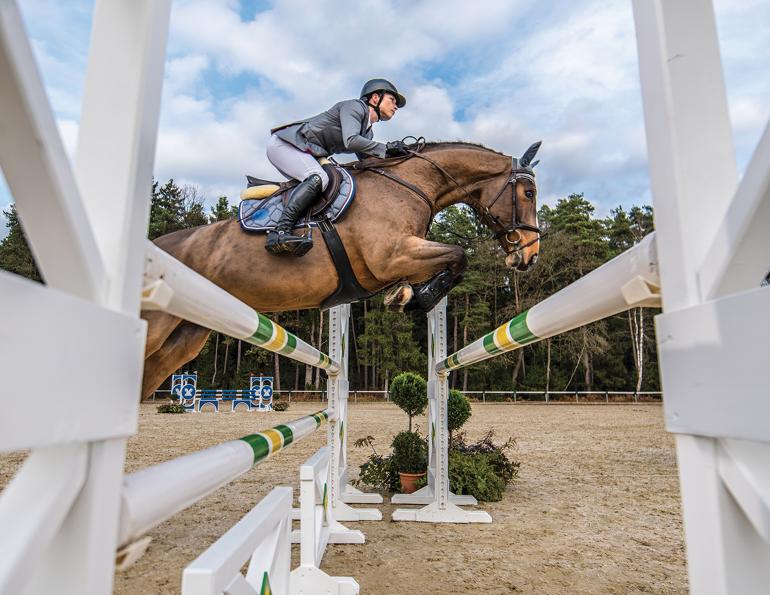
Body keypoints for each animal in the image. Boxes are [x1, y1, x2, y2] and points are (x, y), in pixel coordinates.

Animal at [141, 141, 541, 398]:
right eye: (529, 194)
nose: (530, 255)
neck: (412, 184)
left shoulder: (402, 257)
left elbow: (453, 262)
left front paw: (405, 294)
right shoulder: (391, 255)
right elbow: (459, 256)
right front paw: (414, 298)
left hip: (185, 338)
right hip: (157, 325)